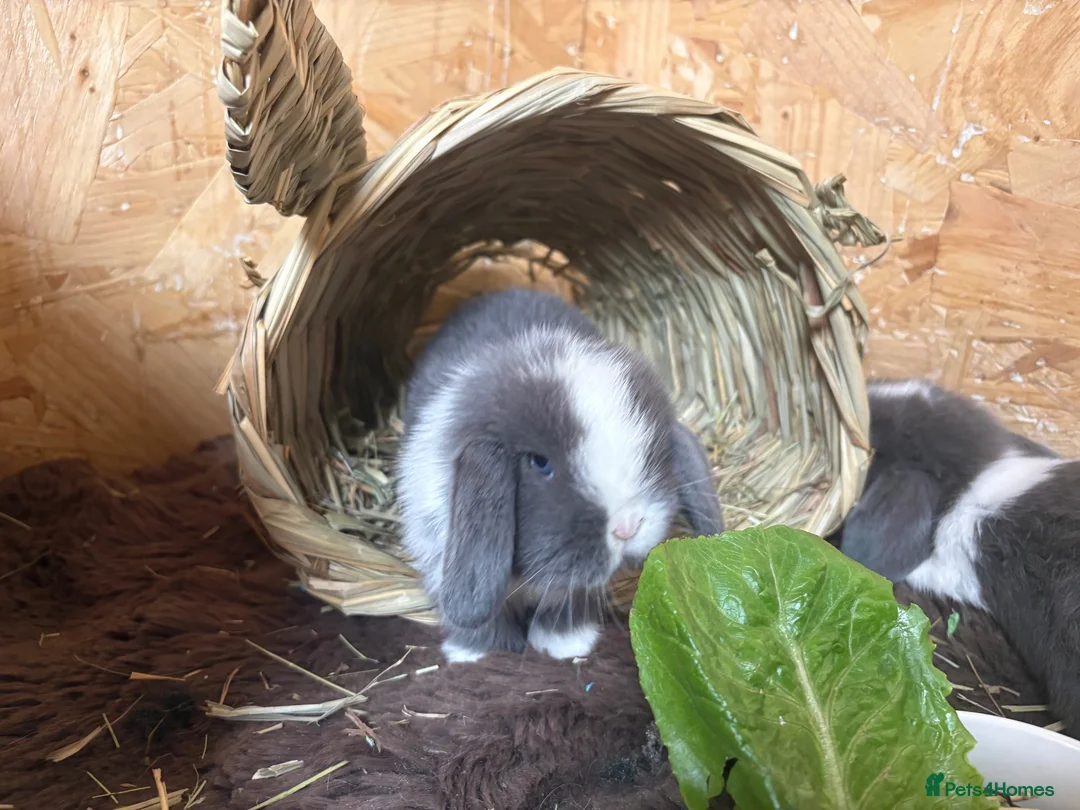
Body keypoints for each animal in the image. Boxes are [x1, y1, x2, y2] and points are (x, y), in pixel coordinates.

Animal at [396, 287, 724, 663]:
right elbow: (484, 620)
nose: (627, 527)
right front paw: (480, 654)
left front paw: (565, 643)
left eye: (653, 448)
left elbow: (565, 603)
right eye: (539, 463)